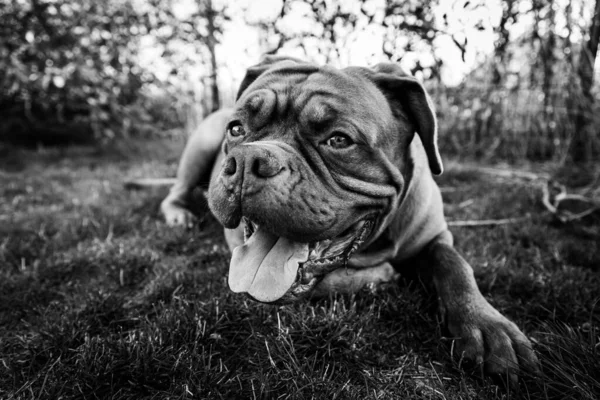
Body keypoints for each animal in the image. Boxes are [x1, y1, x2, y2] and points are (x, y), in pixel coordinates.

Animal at [159, 55, 540, 382]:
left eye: (339, 139)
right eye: (237, 129)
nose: (247, 161)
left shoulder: (436, 236)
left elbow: (455, 264)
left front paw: (487, 325)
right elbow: (325, 282)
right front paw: (381, 275)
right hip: (200, 145)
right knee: (174, 192)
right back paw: (180, 215)